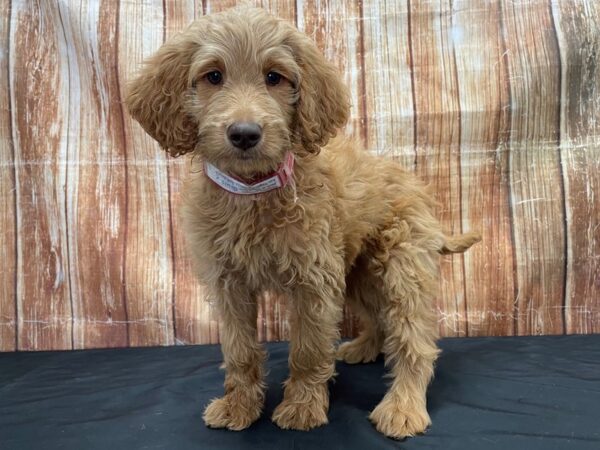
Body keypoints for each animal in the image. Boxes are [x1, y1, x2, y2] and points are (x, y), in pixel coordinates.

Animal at [124, 3, 480, 440]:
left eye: (274, 77)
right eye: (213, 76)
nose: (245, 134)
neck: (253, 191)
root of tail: (420, 189)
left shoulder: (314, 280)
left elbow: (308, 350)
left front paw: (302, 408)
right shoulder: (228, 283)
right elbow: (239, 351)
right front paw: (239, 406)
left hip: (403, 267)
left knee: (416, 339)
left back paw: (403, 407)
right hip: (358, 273)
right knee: (378, 317)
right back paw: (364, 348)